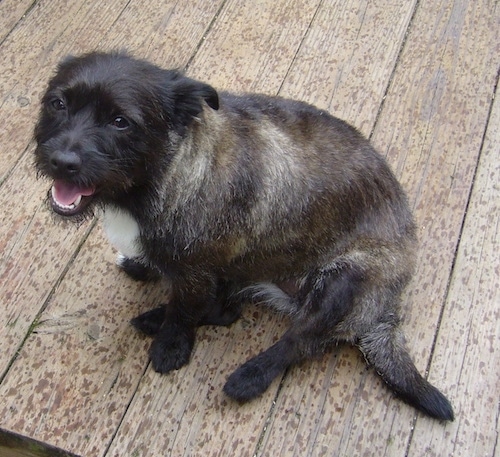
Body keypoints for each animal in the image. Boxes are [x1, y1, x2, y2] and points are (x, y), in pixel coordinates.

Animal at [33, 50, 456, 420]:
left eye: (120, 121)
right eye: (57, 103)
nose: (61, 162)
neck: (161, 175)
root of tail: (390, 309)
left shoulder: (196, 274)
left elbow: (184, 312)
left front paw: (171, 346)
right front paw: (142, 267)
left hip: (345, 282)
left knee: (300, 342)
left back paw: (251, 375)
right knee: (227, 310)